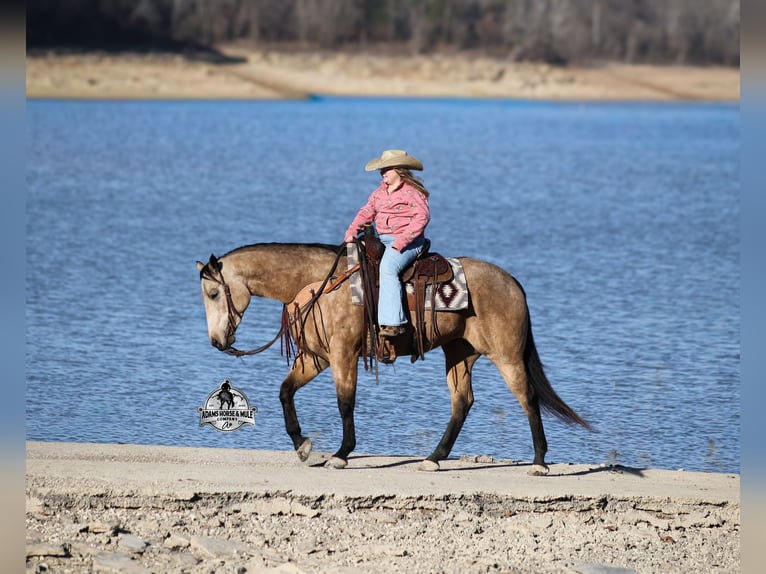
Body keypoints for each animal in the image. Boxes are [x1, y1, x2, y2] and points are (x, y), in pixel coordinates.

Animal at [197, 242, 589, 473]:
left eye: (214, 293)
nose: (217, 341)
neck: (323, 285)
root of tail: (513, 283)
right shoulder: (316, 358)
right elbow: (285, 391)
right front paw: (303, 446)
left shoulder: (343, 355)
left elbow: (345, 403)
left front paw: (342, 453)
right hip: (459, 353)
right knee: (462, 402)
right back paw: (434, 458)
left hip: (506, 355)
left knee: (528, 398)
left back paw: (539, 462)